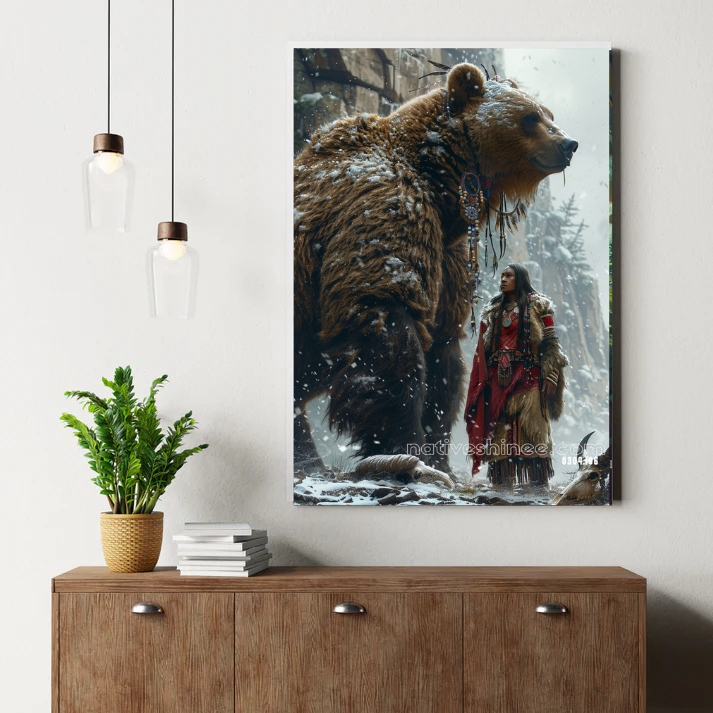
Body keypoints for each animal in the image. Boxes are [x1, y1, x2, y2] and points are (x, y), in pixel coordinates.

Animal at [293, 62, 578, 483]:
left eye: (549, 114)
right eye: (530, 117)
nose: (568, 144)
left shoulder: (448, 257)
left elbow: (444, 359)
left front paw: (441, 459)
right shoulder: (389, 212)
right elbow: (391, 328)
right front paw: (406, 452)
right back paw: (309, 458)